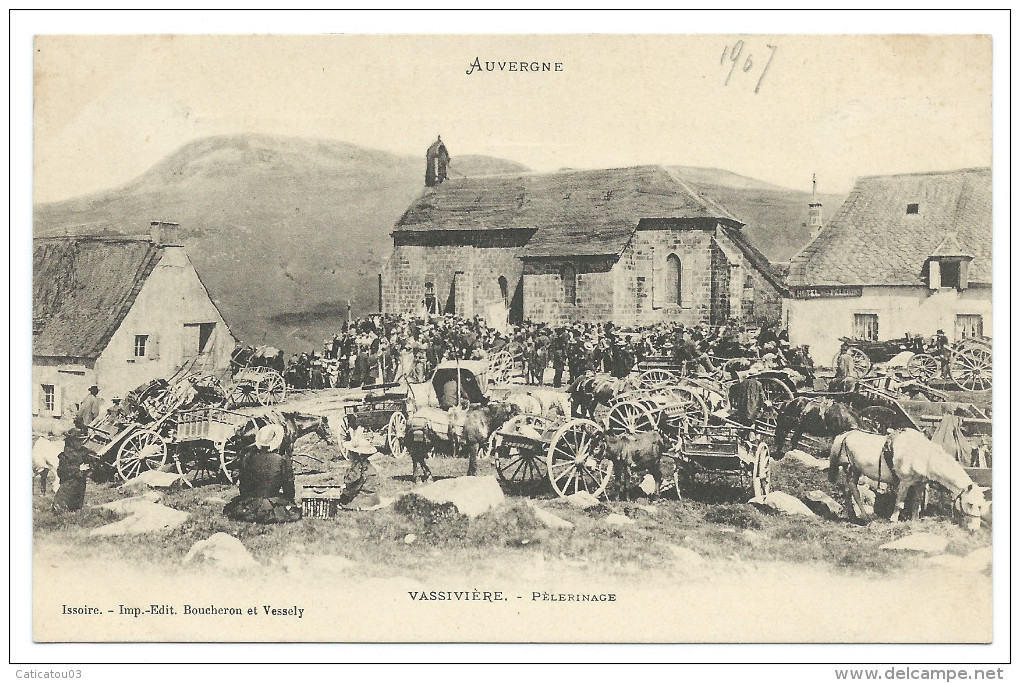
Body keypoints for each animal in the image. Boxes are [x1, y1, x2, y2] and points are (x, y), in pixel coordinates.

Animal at [828, 430, 987, 534]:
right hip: (851, 468)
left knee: (849, 489)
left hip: (854, 470)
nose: (975, 529)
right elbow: (899, 503)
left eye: (981, 505)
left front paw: (915, 520)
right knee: (853, 490)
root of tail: (844, 435)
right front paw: (893, 520)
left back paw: (852, 515)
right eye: (970, 504)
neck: (925, 456)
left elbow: (916, 503)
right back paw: (865, 517)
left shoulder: (919, 484)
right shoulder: (904, 482)